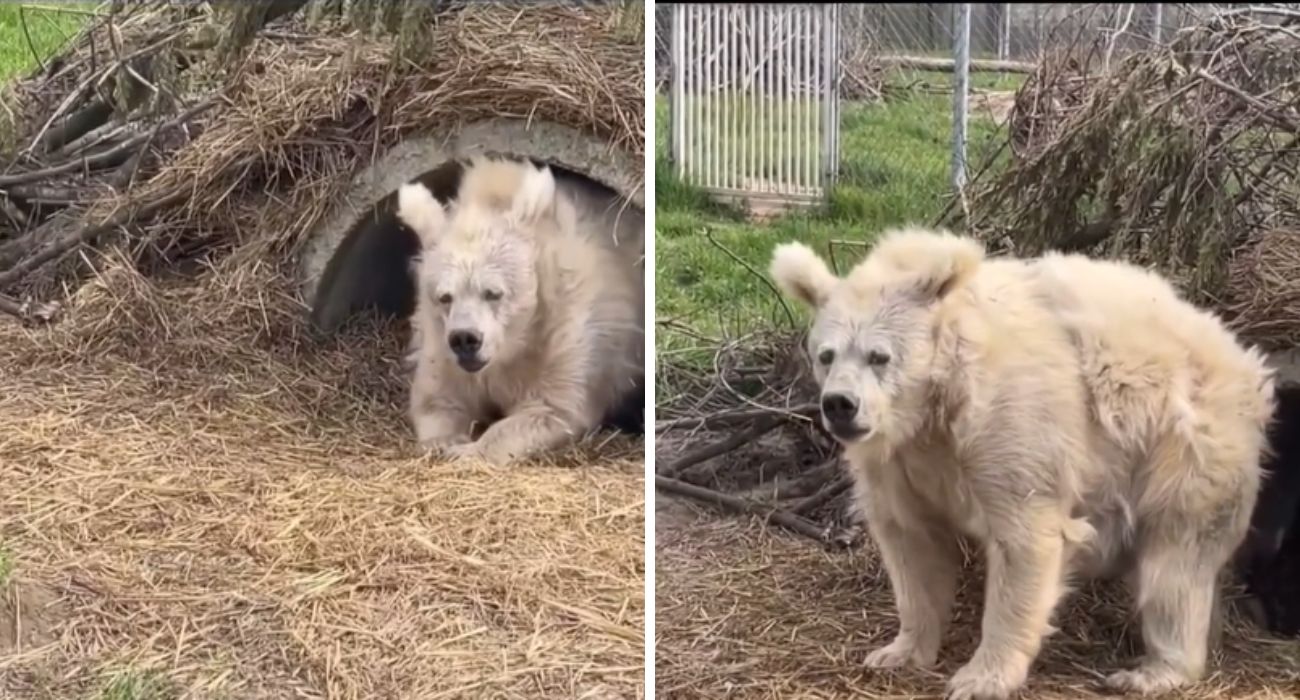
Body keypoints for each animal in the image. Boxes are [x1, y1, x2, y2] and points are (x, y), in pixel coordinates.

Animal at [392, 155, 642, 465]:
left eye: (493, 293)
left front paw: (467, 451)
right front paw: (446, 441)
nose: (465, 339)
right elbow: (437, 399)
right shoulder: (439, 343)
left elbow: (551, 408)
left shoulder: (567, 336)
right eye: (445, 297)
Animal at [764, 227, 1274, 697]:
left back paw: (1152, 670)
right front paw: (898, 651)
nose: (840, 405)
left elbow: (1025, 541)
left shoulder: (1012, 425)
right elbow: (912, 544)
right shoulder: (899, 462)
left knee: (1175, 562)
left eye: (879, 356)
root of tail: (1242, 357)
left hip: (1185, 444)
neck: (937, 405)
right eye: (826, 354)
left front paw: (980, 677)